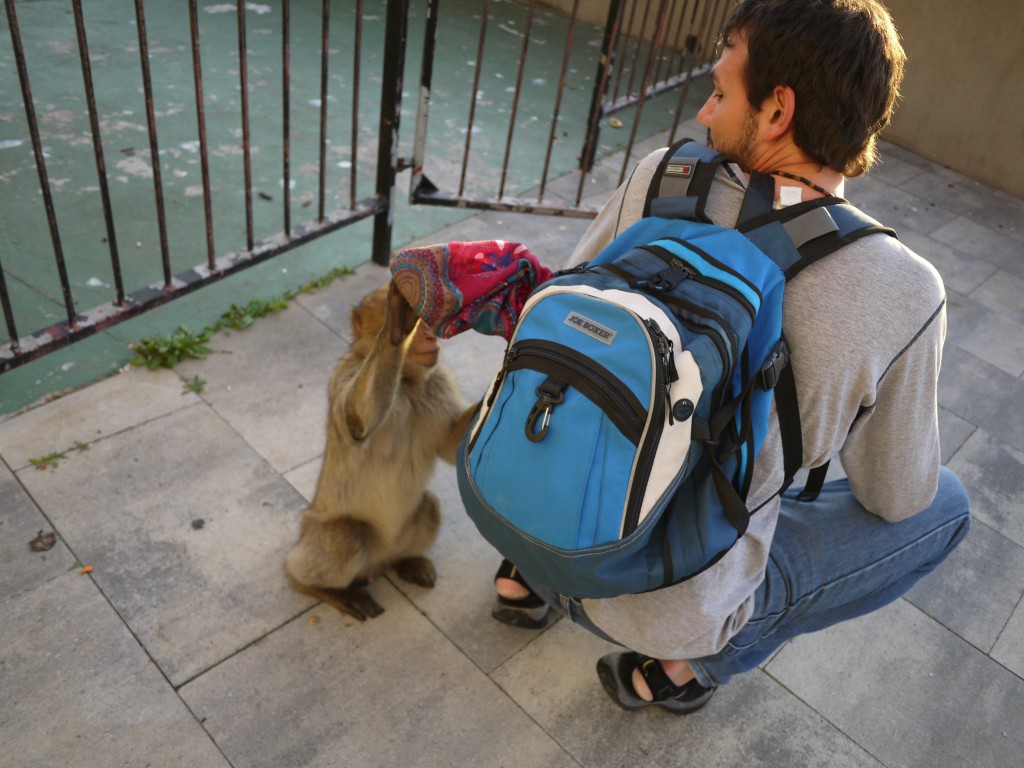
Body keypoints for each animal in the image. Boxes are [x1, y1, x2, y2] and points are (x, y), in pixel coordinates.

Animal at [284, 282, 475, 626]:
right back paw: (319, 587)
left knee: (428, 506)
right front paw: (396, 327)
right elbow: (358, 420)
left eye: (428, 323)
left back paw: (405, 560)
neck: (405, 383)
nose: (429, 335)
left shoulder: (438, 379)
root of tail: (376, 565)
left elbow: (450, 443)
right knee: (347, 536)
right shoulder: (345, 374)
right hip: (313, 540)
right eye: (419, 324)